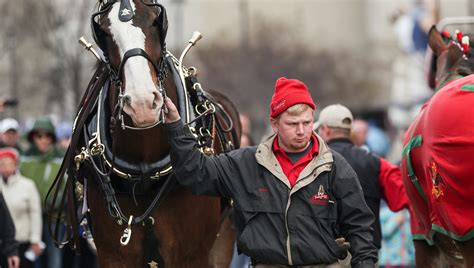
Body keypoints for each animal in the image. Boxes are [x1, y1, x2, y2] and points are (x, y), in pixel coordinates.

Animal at [47, 1, 241, 266]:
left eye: (154, 21)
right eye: (104, 32)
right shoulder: (113, 255)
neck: (145, 170)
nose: (142, 105)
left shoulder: (192, 254)